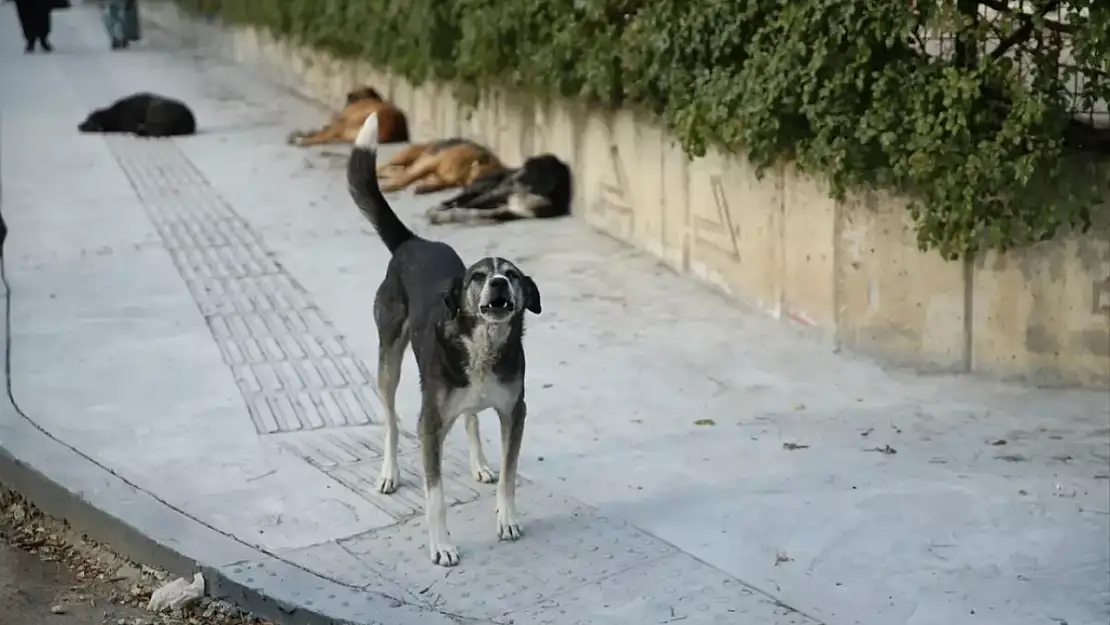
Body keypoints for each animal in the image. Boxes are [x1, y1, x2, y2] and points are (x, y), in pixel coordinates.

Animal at [377, 138, 508, 194]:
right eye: (485, 178)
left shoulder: (444, 179)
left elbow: (440, 184)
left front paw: (424, 187)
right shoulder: (431, 162)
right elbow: (407, 178)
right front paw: (391, 186)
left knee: (396, 171)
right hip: (403, 157)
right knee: (386, 167)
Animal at [424, 153, 572, 226]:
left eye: (529, 169)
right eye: (524, 167)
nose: (513, 177)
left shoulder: (514, 211)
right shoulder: (495, 195)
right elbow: (470, 205)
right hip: (481, 188)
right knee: (461, 198)